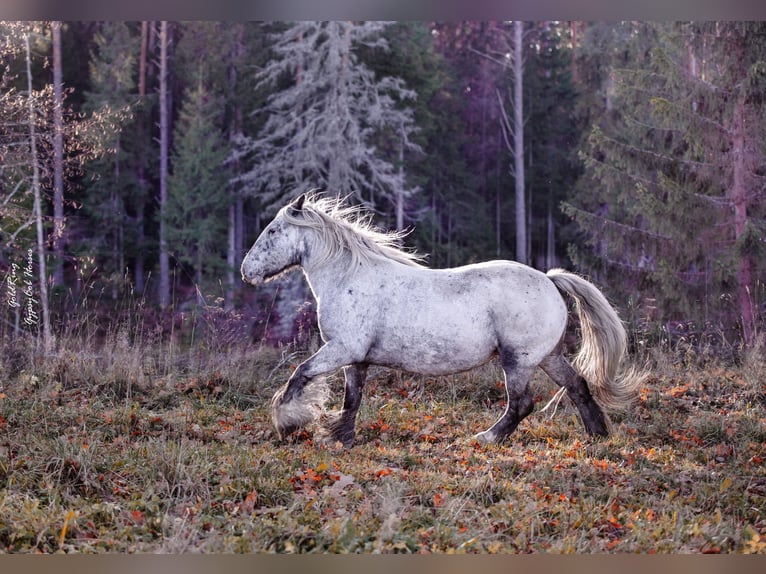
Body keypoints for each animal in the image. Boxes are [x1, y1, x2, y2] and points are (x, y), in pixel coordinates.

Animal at [241, 193, 644, 447]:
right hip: (547, 356)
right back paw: (598, 435)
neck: (348, 277)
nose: (247, 272)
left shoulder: (341, 349)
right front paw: (340, 436)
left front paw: (287, 422)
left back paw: (486, 438)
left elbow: (300, 375)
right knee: (578, 386)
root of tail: (549, 279)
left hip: (518, 360)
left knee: (521, 404)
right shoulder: (357, 358)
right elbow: (351, 400)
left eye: (273, 230)